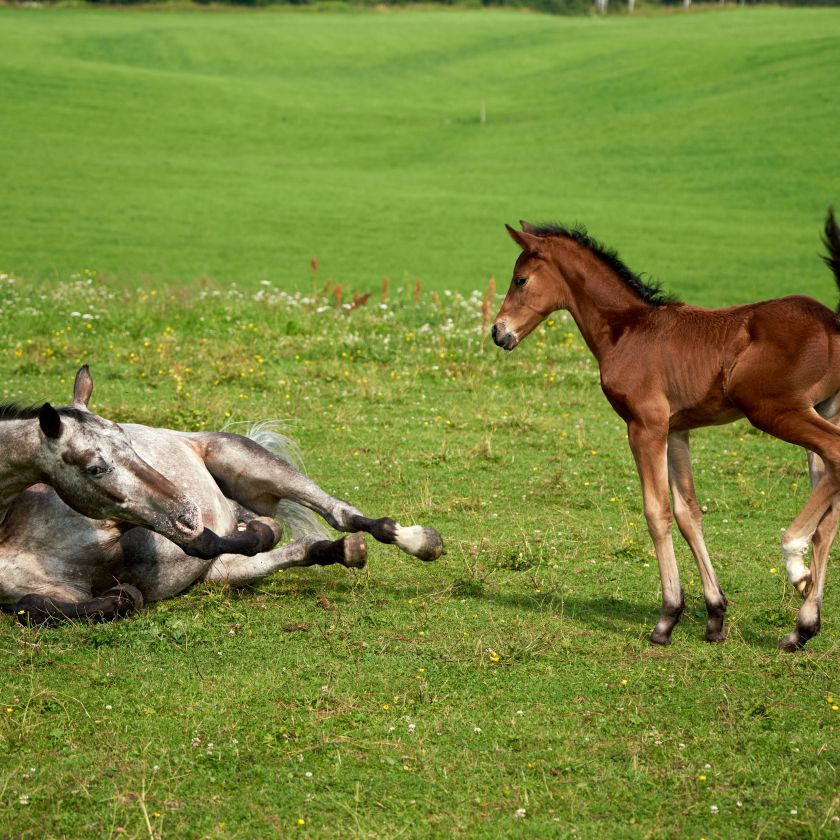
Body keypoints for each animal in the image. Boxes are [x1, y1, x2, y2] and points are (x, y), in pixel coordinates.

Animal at [2, 366, 443, 625]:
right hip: (223, 573)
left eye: (128, 440)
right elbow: (47, 605)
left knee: (339, 513)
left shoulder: (136, 523)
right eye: (95, 467)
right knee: (302, 547)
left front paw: (259, 530)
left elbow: (210, 541)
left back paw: (418, 540)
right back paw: (344, 549)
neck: (12, 528)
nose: (187, 510)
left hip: (244, 459)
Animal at [492, 209, 840, 651]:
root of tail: (831, 322)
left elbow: (656, 512)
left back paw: (795, 563)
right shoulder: (676, 431)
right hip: (823, 410)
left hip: (776, 410)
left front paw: (668, 617)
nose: (498, 332)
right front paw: (715, 615)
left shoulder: (645, 426)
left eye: (520, 279)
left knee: (835, 458)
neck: (627, 330)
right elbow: (688, 512)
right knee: (828, 508)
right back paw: (803, 624)